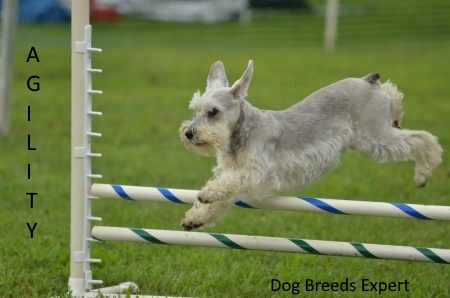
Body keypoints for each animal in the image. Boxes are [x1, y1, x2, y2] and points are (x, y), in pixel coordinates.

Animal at [178, 59, 442, 229]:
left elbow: (226, 185)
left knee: (422, 138)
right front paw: (196, 218)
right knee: (394, 95)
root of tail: (367, 81)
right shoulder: (234, 175)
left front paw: (207, 193)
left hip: (377, 136)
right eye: (194, 110)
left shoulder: (257, 173)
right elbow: (223, 196)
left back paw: (423, 174)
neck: (240, 134)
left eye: (213, 112)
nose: (189, 133)